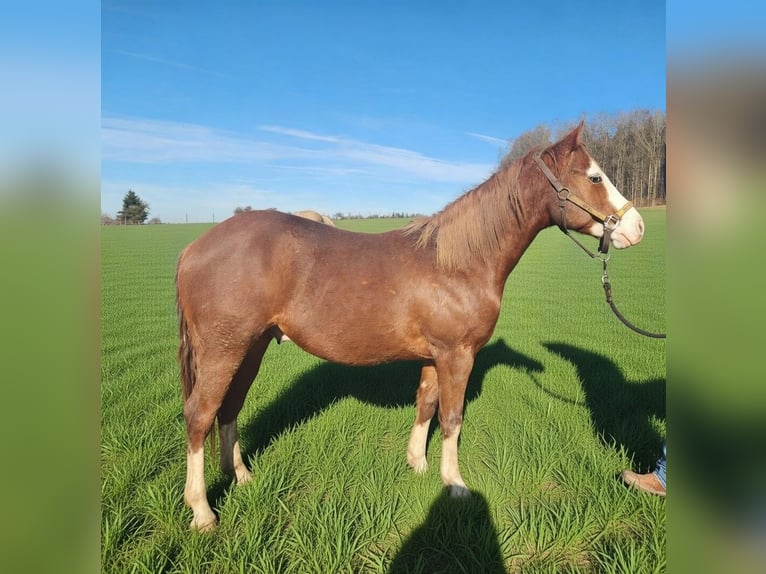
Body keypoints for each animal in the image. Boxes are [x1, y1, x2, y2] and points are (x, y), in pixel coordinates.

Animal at [175, 122, 645, 531]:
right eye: (595, 176)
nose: (637, 227)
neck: (458, 262)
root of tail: (193, 247)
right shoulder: (457, 356)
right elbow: (452, 417)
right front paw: (455, 484)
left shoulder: (435, 357)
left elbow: (426, 405)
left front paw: (417, 463)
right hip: (223, 350)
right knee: (199, 415)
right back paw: (202, 511)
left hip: (250, 348)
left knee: (229, 408)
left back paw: (241, 476)